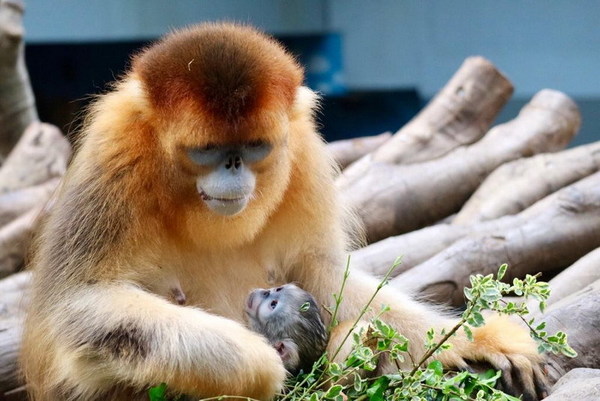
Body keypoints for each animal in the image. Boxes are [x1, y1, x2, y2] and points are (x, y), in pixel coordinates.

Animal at [22, 23, 548, 400]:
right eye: (208, 150)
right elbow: (77, 306)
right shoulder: (114, 153)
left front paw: (484, 338)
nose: (234, 165)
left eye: (255, 146)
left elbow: (321, 272)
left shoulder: (302, 151)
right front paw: (253, 363)